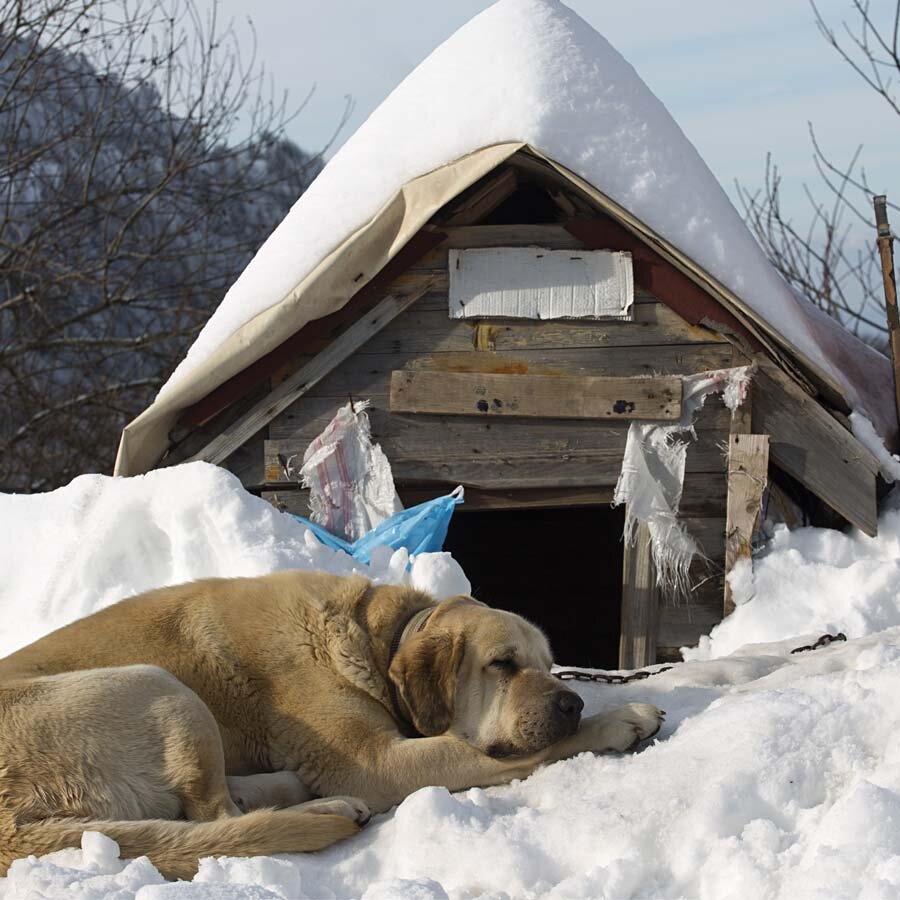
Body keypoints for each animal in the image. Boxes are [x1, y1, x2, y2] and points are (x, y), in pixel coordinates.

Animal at [0, 568, 660, 880]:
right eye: (503, 664)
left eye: (550, 665)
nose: (572, 704)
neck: (375, 638)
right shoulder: (380, 763)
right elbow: (516, 753)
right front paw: (617, 719)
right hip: (159, 686)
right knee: (214, 818)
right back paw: (324, 807)